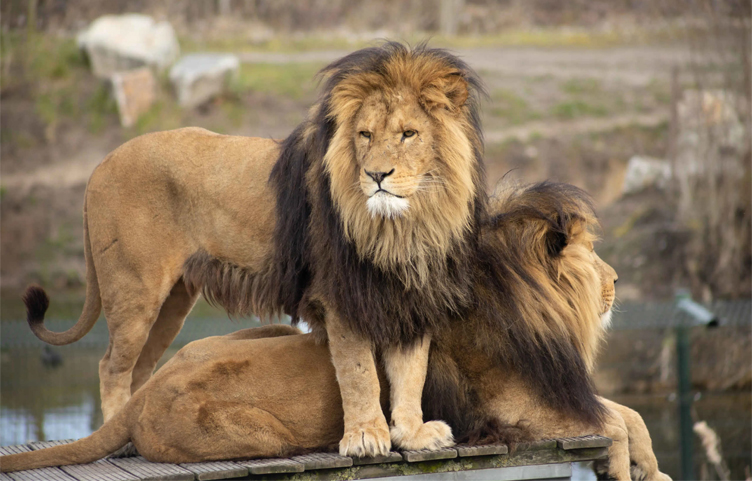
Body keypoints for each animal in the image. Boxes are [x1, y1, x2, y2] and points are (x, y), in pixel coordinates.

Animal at [2, 181, 670, 481]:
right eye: (594, 257)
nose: (617, 281)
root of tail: (144, 398)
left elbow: (629, 414)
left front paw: (651, 467)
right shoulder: (514, 409)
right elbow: (612, 424)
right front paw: (625, 470)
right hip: (259, 436)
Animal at [22, 42, 488, 456]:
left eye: (409, 134)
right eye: (365, 135)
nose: (376, 175)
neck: (403, 226)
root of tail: (100, 165)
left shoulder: (412, 295)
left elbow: (411, 374)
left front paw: (413, 434)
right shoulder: (341, 298)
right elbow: (360, 374)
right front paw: (365, 438)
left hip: (172, 301)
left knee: (141, 366)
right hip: (134, 291)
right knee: (112, 366)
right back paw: (116, 442)